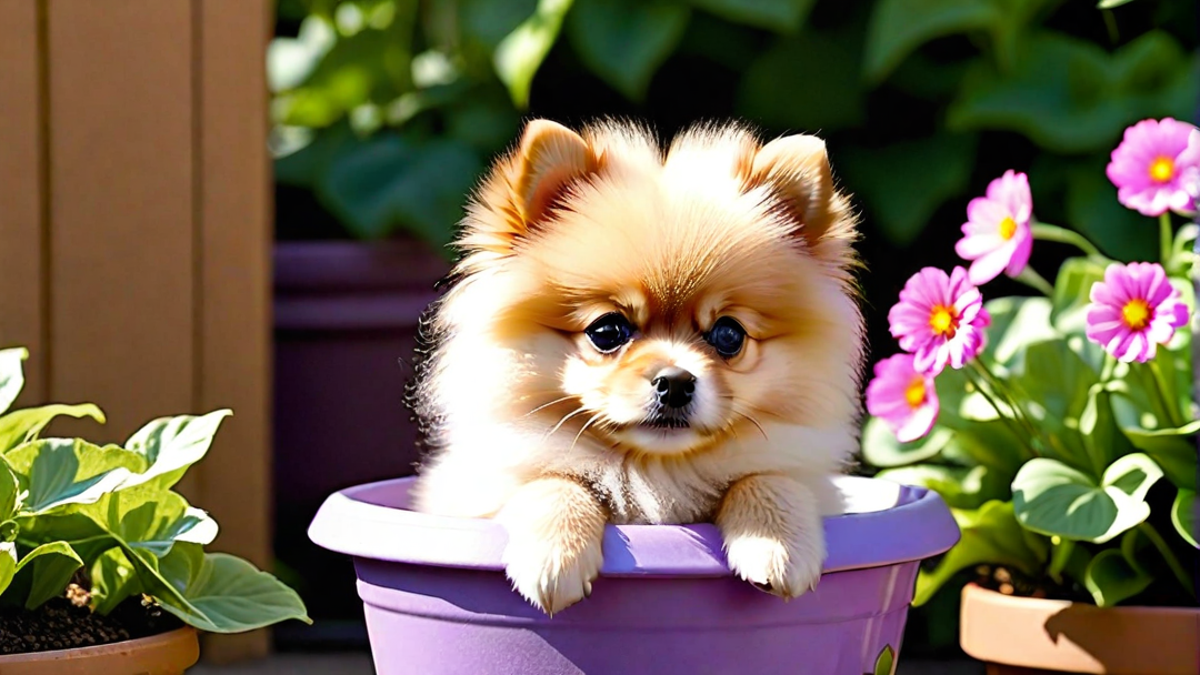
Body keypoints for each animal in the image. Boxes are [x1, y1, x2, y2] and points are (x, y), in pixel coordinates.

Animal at [410, 118, 864, 612]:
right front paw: (555, 554)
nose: (676, 382)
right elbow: (553, 481)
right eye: (608, 331)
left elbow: (769, 476)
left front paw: (777, 542)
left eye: (729, 335)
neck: (652, 473)